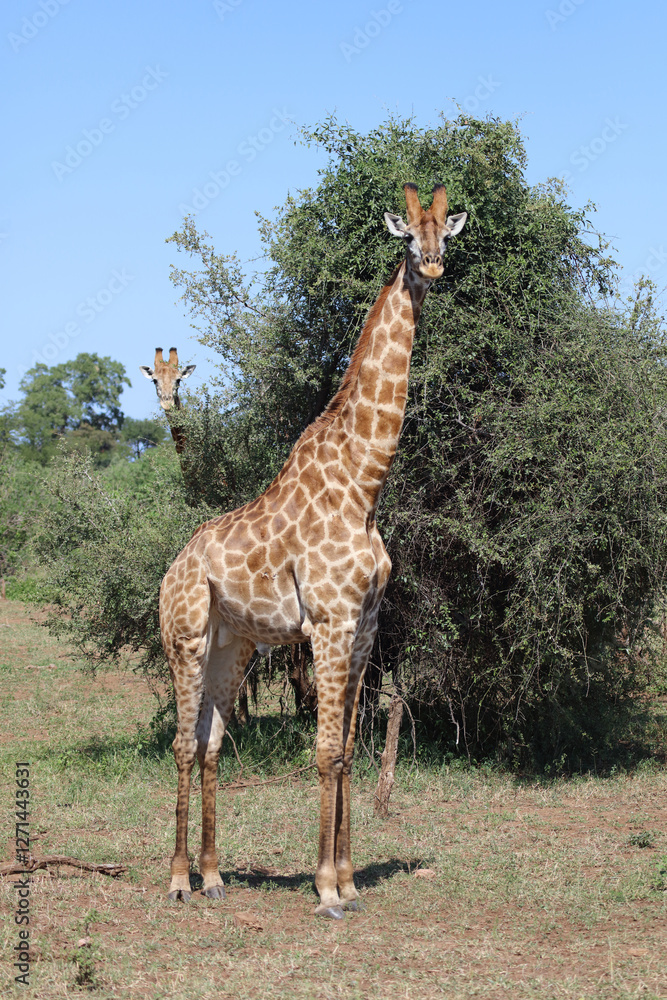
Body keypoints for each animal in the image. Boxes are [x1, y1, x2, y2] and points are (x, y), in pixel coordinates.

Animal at [159, 184, 467, 917]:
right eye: (407, 237)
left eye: (446, 231)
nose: (433, 265)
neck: (365, 483)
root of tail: (170, 569)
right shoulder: (328, 622)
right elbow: (325, 751)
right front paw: (327, 889)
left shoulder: (365, 627)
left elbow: (349, 751)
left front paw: (350, 878)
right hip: (184, 636)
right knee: (182, 743)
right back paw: (178, 878)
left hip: (233, 644)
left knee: (211, 742)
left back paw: (214, 876)